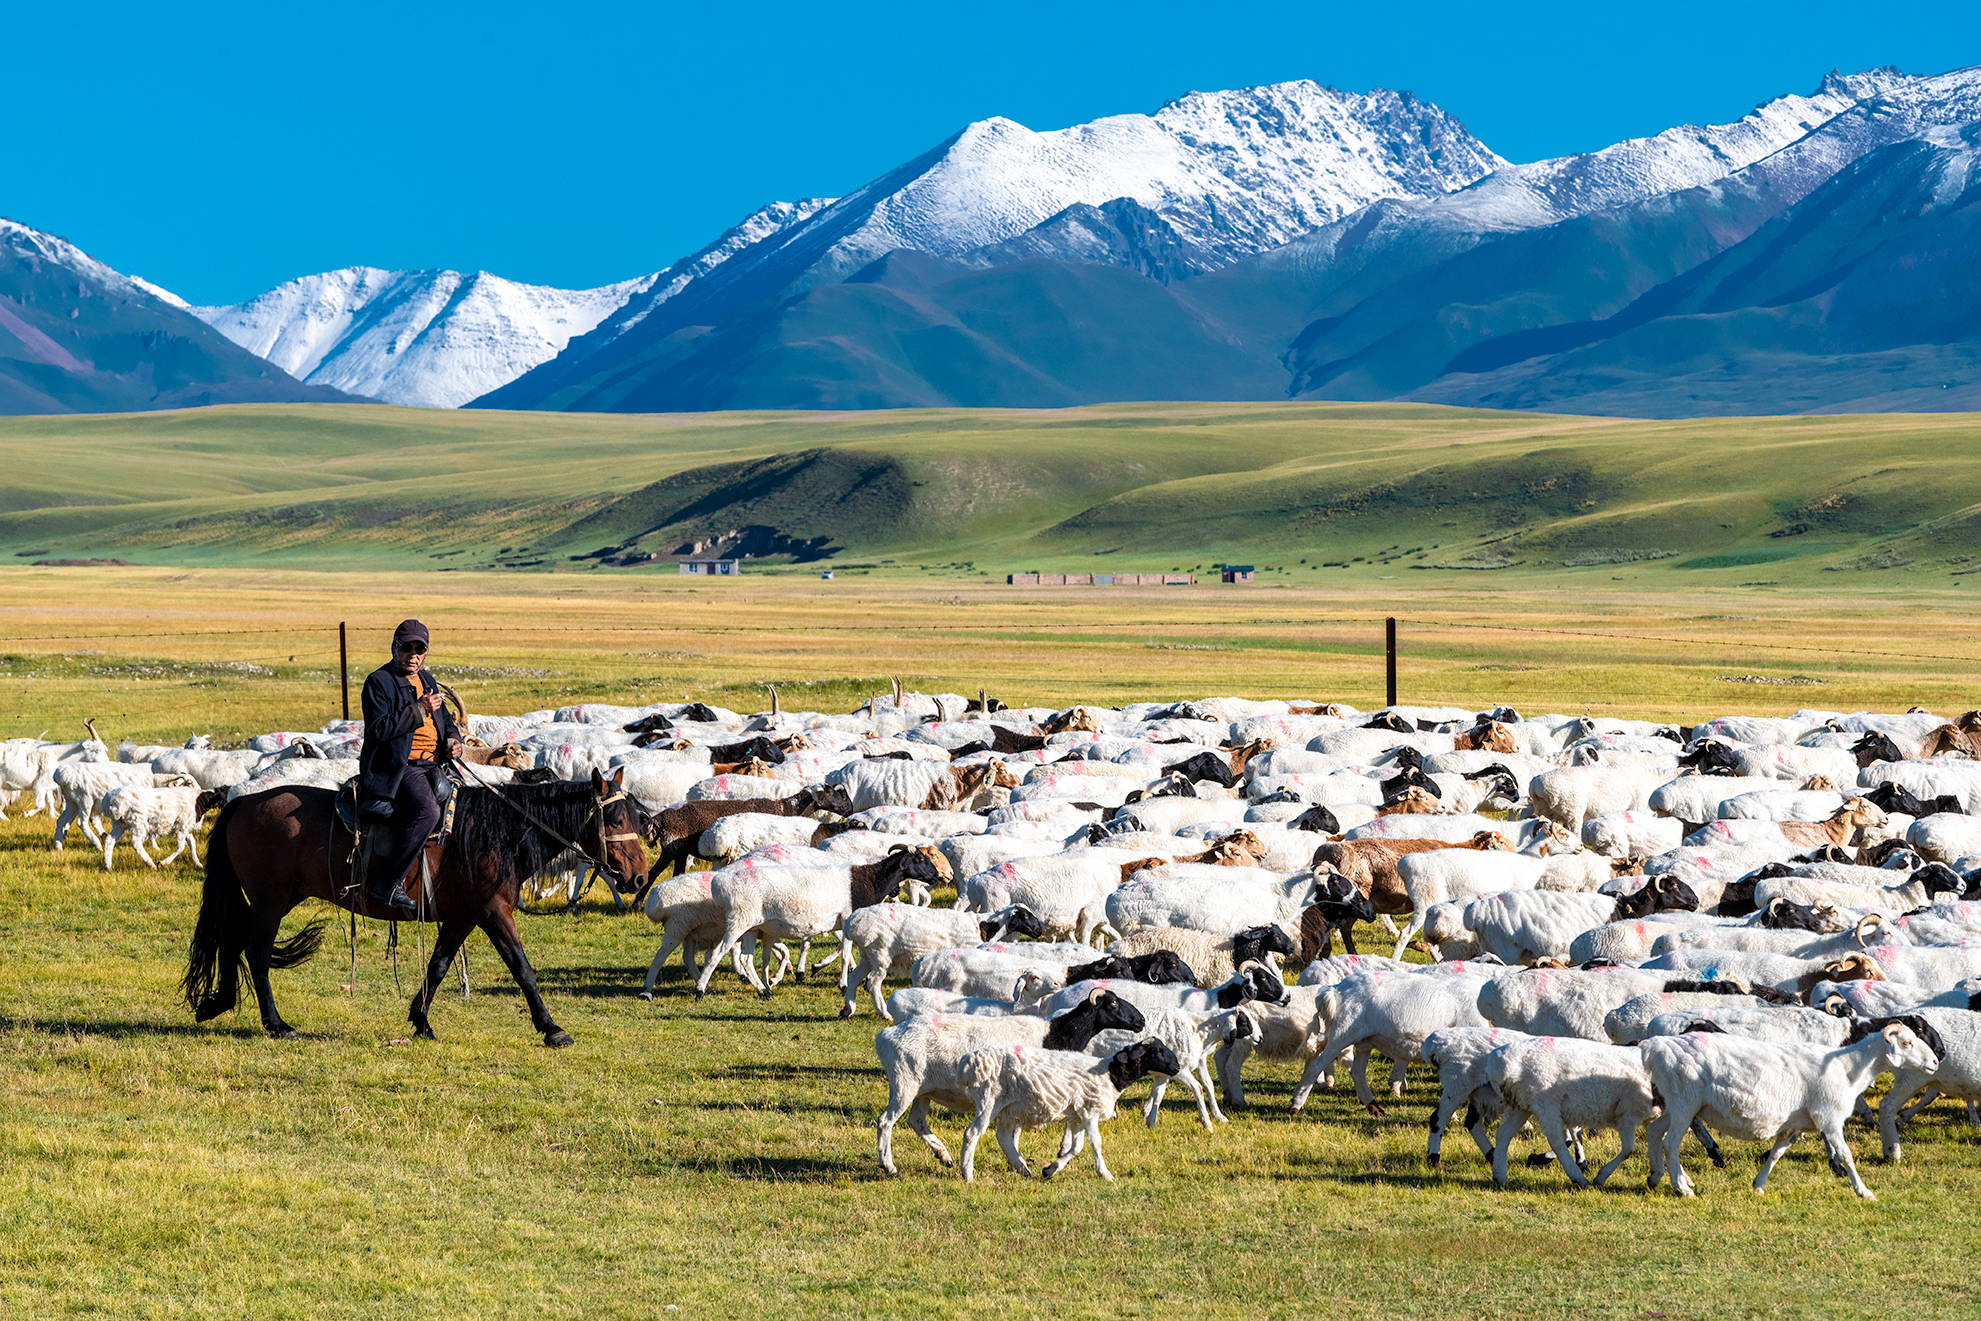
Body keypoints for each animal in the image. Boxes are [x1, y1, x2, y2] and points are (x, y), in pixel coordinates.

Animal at [181, 768, 645, 1045]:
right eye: (616, 819)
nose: (639, 878)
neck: (498, 832)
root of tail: (242, 802)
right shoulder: (493, 912)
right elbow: (522, 968)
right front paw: (552, 1028)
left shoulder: (461, 917)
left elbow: (437, 966)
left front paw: (420, 1020)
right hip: (270, 901)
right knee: (255, 953)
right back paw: (276, 1024)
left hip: (270, 900)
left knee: (232, 943)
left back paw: (217, 1003)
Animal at [839, 899, 1053, 1021]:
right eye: (1026, 916)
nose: (1039, 930)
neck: (984, 928)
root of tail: (852, 923)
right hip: (880, 951)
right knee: (873, 982)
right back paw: (885, 1013)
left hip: (867, 954)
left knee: (854, 978)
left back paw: (848, 1009)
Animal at [879, 986, 1156, 1172]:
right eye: (1113, 1003)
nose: (1141, 1020)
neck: (1054, 1034)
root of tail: (887, 1034)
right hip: (904, 1084)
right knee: (886, 1121)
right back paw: (889, 1166)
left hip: (924, 1090)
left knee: (916, 1122)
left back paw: (943, 1155)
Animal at [954, 1045, 1180, 1188]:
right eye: (1158, 1050)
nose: (1177, 1068)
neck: (1111, 1074)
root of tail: (969, 1062)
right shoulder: (1090, 1111)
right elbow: (1096, 1143)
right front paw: (1105, 1173)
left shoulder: (1078, 1117)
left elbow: (1076, 1148)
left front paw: (1050, 1170)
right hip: (989, 1100)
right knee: (972, 1133)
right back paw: (968, 1174)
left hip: (1008, 1109)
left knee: (1002, 1137)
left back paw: (1023, 1168)